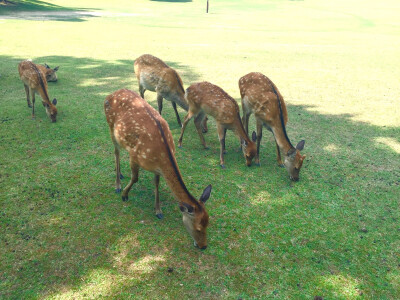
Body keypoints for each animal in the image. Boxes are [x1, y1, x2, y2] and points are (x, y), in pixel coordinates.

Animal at [104, 88, 212, 250]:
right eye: (198, 227)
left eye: (208, 223)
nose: (203, 245)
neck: (160, 156)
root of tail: (111, 94)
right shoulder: (134, 156)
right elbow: (135, 178)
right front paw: (124, 195)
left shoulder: (157, 168)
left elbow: (156, 184)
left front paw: (158, 211)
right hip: (111, 126)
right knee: (116, 152)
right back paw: (117, 185)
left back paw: (121, 174)